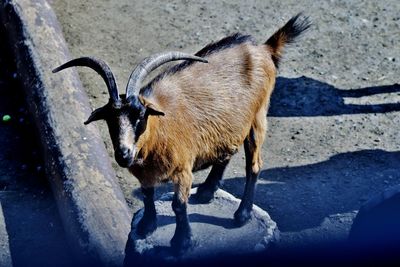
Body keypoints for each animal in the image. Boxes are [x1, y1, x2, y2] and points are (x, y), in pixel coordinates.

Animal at [52, 14, 310, 255]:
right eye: (109, 118)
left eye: (141, 115)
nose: (123, 154)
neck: (157, 134)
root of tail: (264, 48)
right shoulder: (145, 174)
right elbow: (147, 194)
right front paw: (147, 226)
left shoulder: (183, 170)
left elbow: (178, 205)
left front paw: (181, 243)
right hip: (232, 123)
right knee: (227, 150)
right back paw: (206, 191)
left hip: (258, 117)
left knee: (254, 164)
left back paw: (242, 215)